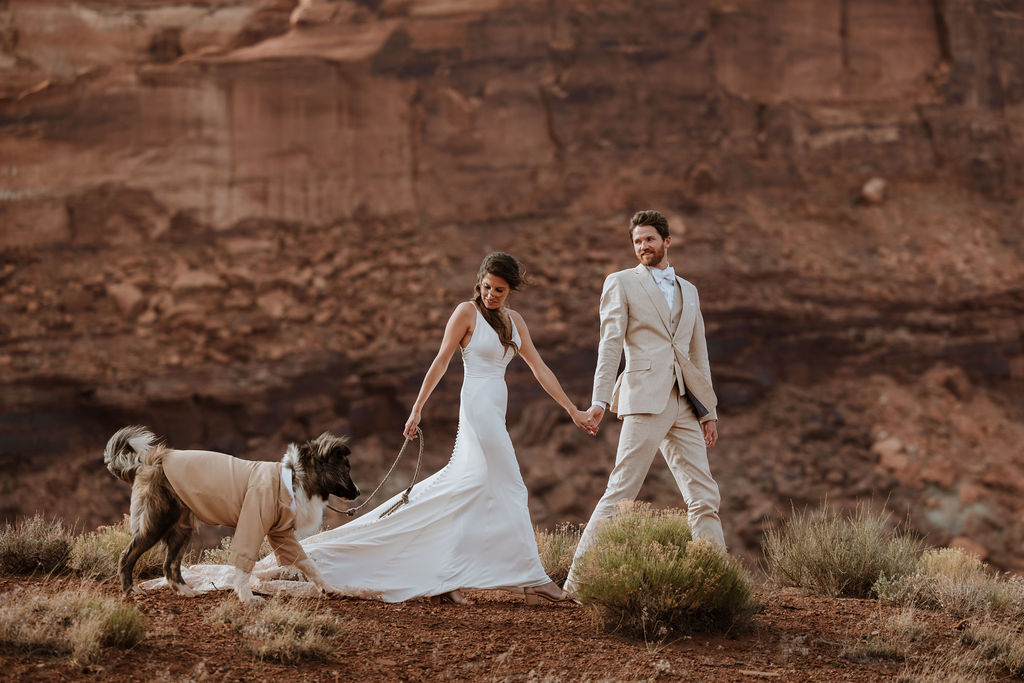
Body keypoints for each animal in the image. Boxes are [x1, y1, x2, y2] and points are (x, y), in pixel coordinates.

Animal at [104, 423, 360, 606]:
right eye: (346, 470)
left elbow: (306, 562)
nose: (358, 492)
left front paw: (329, 589)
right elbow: (243, 566)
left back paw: (186, 591)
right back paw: (130, 591)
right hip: (156, 523)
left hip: (181, 529)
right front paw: (247, 598)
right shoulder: (252, 523)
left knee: (169, 565)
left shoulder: (282, 534)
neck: (296, 478)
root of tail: (147, 462)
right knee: (127, 556)